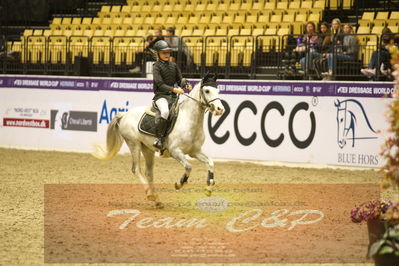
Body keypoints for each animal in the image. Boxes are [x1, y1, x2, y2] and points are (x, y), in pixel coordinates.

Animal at [93, 74, 225, 205]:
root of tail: (124, 115)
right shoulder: (175, 151)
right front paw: (179, 183)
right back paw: (150, 194)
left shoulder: (195, 151)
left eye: (218, 90)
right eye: (207, 91)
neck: (188, 120)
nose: (220, 109)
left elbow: (210, 162)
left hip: (147, 149)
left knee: (149, 173)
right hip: (134, 144)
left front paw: (208, 188)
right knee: (136, 169)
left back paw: (156, 199)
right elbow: (188, 166)